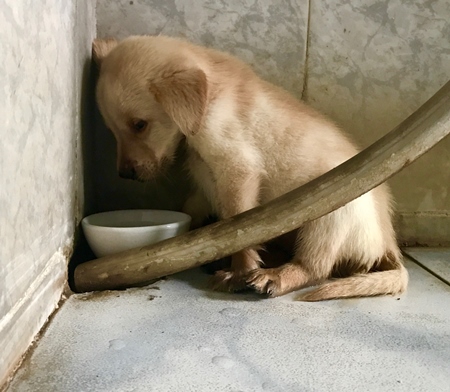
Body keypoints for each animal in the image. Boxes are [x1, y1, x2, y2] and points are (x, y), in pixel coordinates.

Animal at [92, 36, 408, 300]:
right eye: (111, 129)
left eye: (139, 125)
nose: (125, 174)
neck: (209, 102)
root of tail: (388, 242)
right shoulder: (206, 181)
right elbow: (195, 209)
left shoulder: (237, 169)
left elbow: (237, 227)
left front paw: (239, 272)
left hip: (331, 215)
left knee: (314, 268)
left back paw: (275, 276)